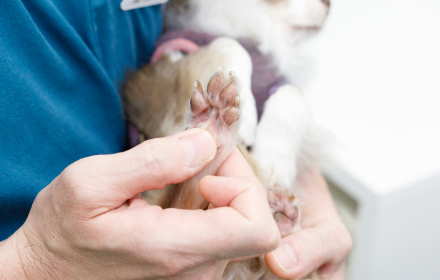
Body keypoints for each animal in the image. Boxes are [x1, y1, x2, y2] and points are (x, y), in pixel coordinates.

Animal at [122, 1, 328, 278]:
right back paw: (212, 126)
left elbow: (292, 93)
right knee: (182, 204)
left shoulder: (281, 84)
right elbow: (228, 43)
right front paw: (249, 115)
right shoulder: (168, 72)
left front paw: (277, 160)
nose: (329, 5)